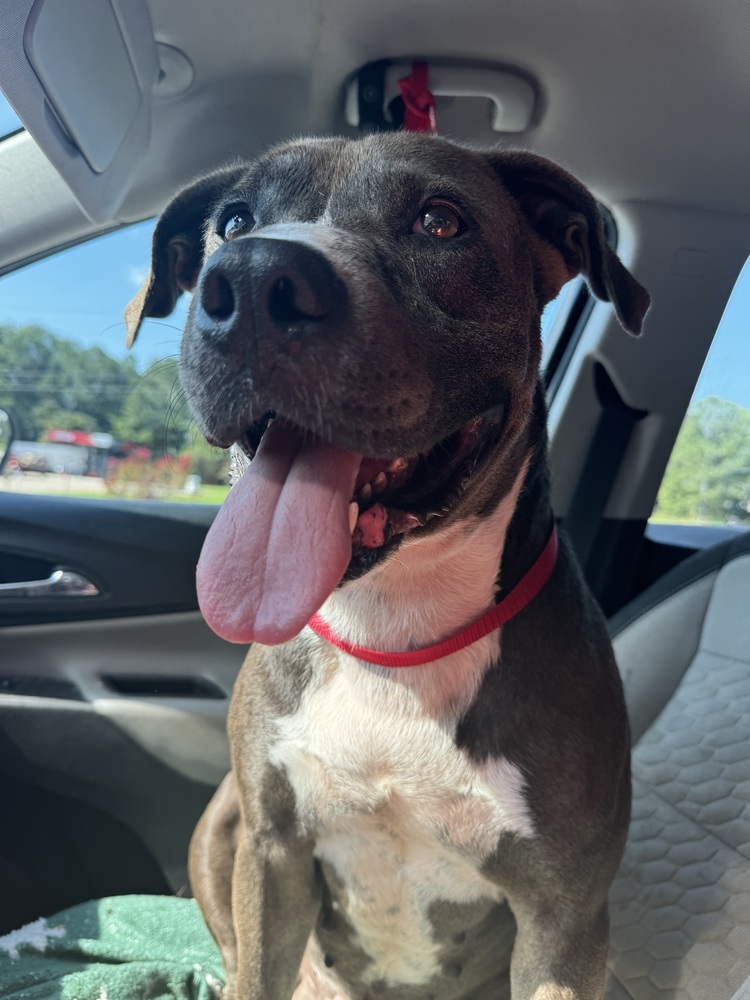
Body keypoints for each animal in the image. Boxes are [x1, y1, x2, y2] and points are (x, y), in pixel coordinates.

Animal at [125, 133, 652, 1000]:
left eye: (440, 221)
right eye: (234, 221)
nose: (253, 276)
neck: (394, 632)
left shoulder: (565, 920)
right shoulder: (271, 853)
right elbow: (256, 959)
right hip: (222, 822)